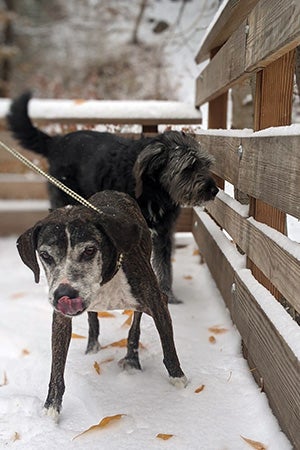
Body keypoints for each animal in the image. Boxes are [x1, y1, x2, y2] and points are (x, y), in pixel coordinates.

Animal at [7, 94, 218, 306]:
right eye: (189, 167)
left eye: (206, 164)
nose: (214, 190)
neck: (153, 189)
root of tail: (56, 142)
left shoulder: (163, 233)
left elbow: (164, 266)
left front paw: (168, 295)